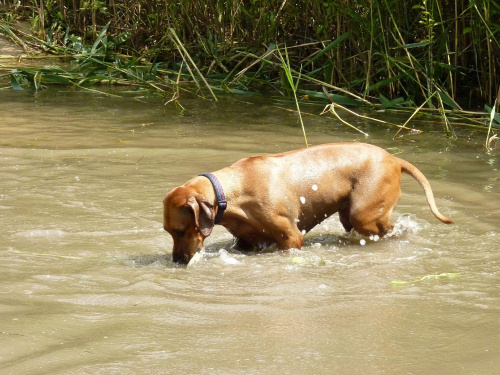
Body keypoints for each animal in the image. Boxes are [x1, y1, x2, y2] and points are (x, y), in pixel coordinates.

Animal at [163, 143, 454, 264]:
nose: (177, 261)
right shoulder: (246, 242)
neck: (232, 191)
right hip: (349, 216)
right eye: (168, 232)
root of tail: (394, 159)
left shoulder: (291, 238)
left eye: (180, 230)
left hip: (365, 214)